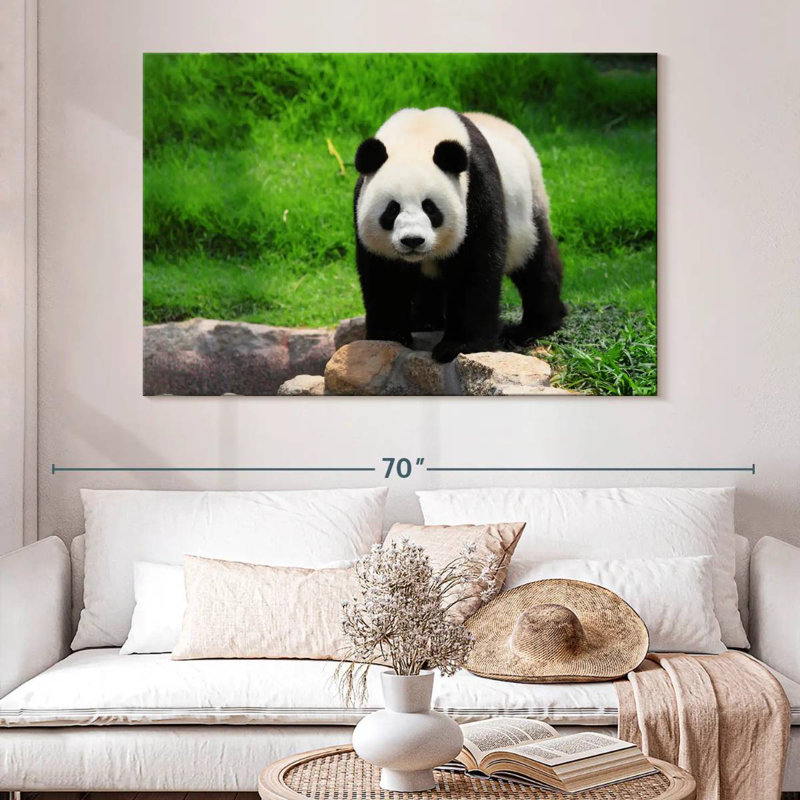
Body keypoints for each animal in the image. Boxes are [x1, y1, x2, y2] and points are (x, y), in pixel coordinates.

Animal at [353, 107, 566, 364]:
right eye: (392, 209)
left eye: (430, 207)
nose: (413, 241)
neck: (417, 135)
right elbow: (385, 275)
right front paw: (389, 336)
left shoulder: (477, 189)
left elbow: (473, 267)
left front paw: (458, 346)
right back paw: (424, 321)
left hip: (528, 209)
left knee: (536, 263)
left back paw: (534, 327)